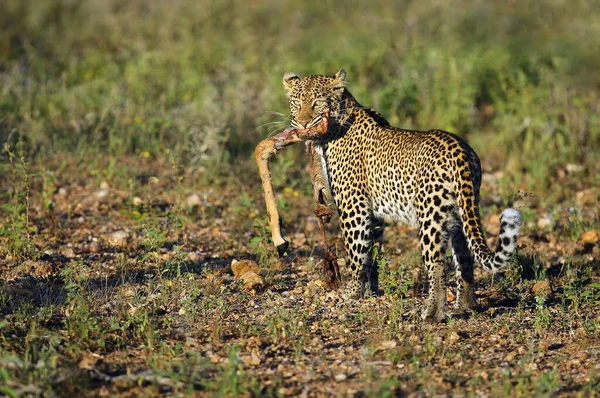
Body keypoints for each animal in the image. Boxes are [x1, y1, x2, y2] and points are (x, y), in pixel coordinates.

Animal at [282, 69, 520, 324]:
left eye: (317, 103)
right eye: (296, 103)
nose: (303, 122)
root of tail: (459, 149)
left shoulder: (353, 207)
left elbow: (356, 251)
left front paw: (352, 291)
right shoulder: (373, 214)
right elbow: (373, 252)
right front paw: (370, 290)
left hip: (430, 216)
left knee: (437, 265)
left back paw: (432, 314)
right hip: (462, 213)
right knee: (465, 259)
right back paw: (465, 306)